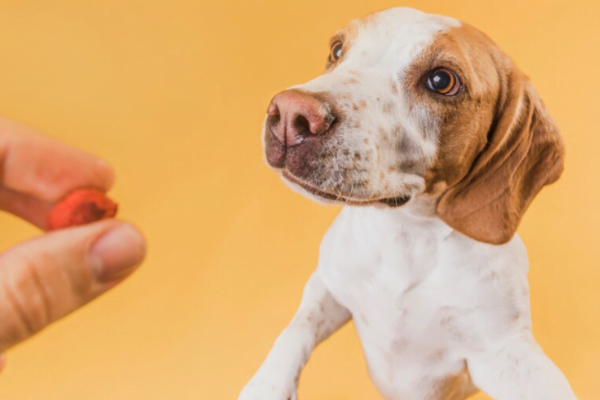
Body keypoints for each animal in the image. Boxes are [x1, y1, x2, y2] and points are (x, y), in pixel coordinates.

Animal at [238, 7, 576, 400]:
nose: (291, 114)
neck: (406, 236)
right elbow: (294, 330)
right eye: (337, 50)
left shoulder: (501, 353)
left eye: (441, 80)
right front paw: (266, 385)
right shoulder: (327, 287)